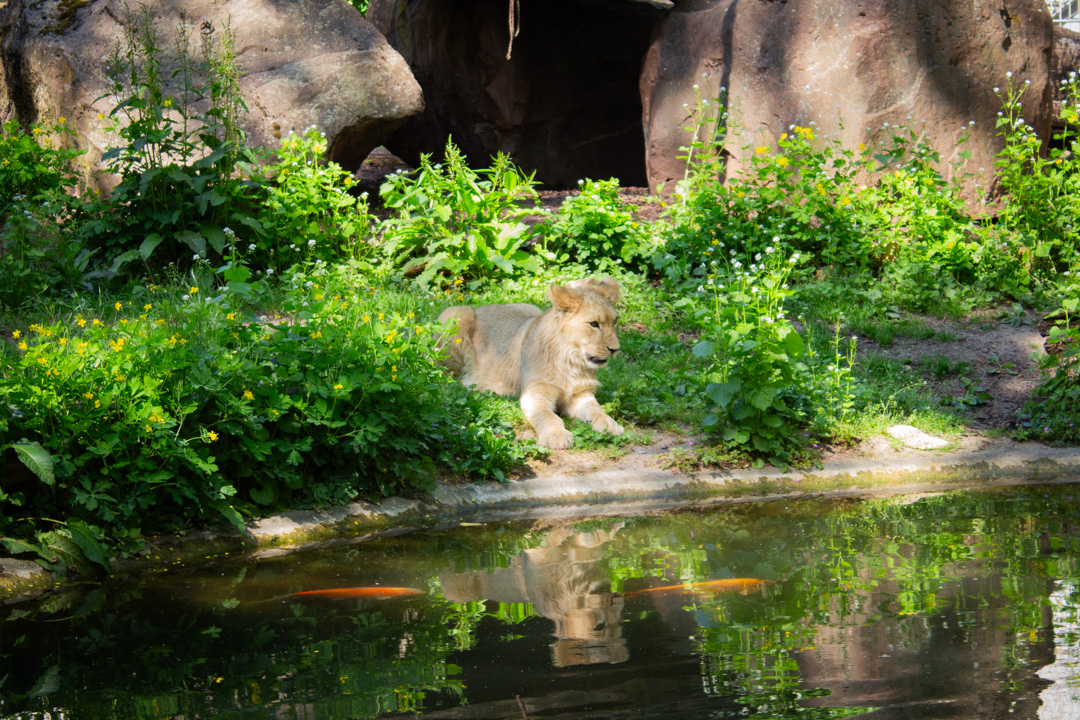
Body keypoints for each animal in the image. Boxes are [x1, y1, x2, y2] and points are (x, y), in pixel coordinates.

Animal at [438, 277, 624, 449]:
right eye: (593, 324)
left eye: (615, 321)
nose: (615, 349)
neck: (570, 360)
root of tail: (481, 306)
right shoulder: (535, 393)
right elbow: (548, 417)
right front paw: (556, 436)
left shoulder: (581, 394)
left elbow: (595, 409)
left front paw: (610, 424)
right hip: (456, 314)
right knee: (446, 376)